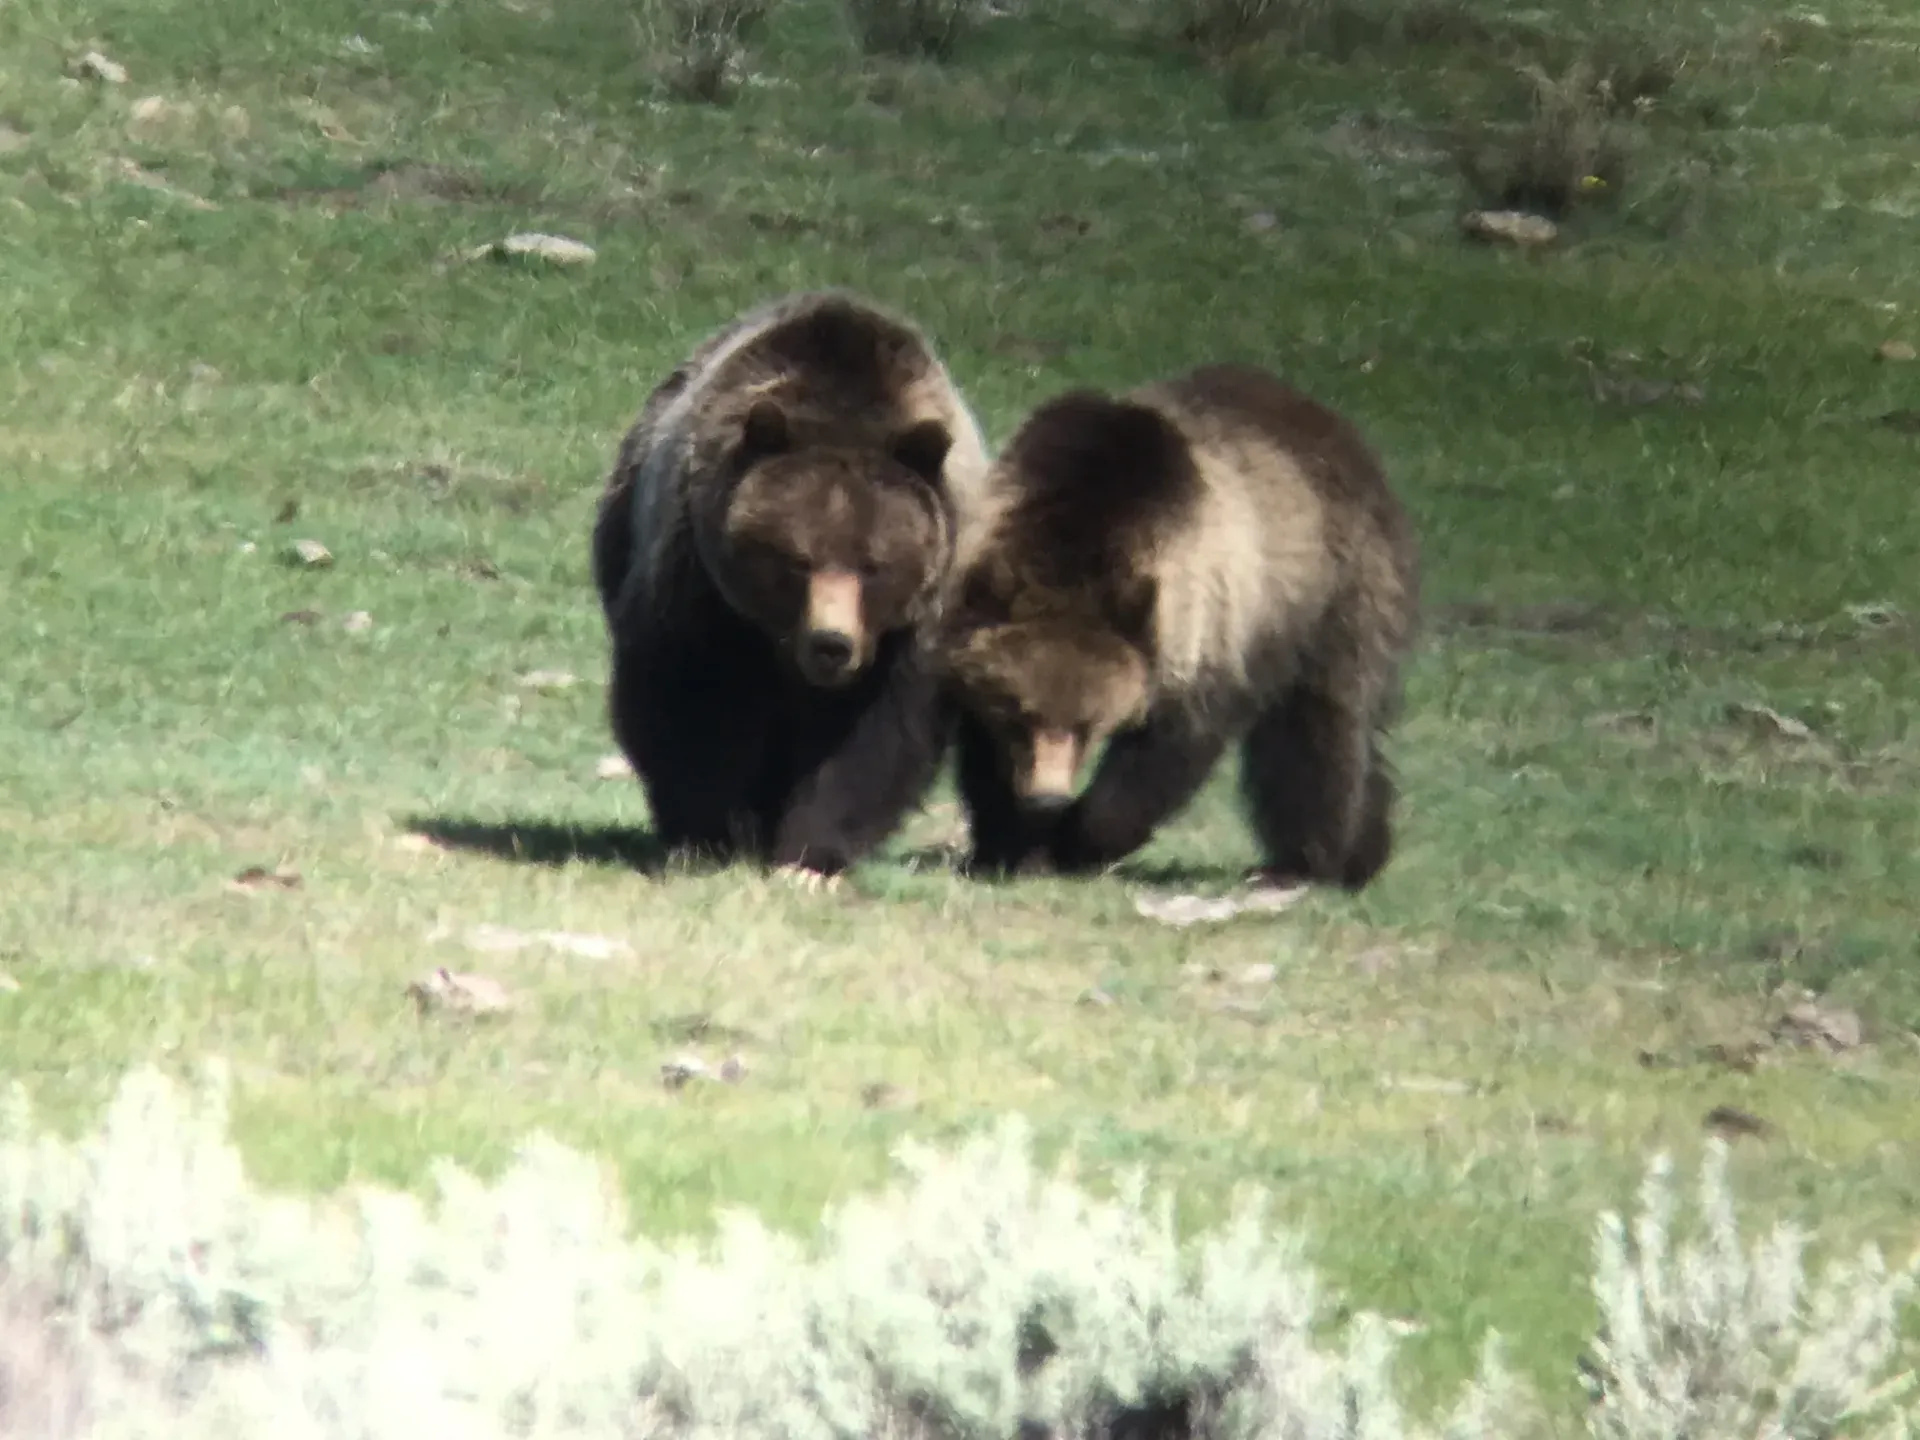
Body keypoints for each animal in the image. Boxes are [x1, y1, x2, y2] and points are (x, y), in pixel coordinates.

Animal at [590, 290, 992, 888]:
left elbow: (877, 737)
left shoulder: (911, 628)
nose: (832, 644)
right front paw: (707, 833)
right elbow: (688, 696)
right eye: (796, 559)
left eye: (874, 564)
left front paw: (809, 859)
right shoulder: (704, 588)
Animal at [934, 361, 1420, 891]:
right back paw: (1364, 853)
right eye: (1019, 715)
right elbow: (982, 746)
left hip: (1334, 594)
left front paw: (1073, 841)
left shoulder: (1197, 622)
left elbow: (1167, 752)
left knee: (1319, 728)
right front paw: (1006, 841)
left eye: (1088, 724)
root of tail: (1341, 428)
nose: (1048, 797)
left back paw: (1310, 860)